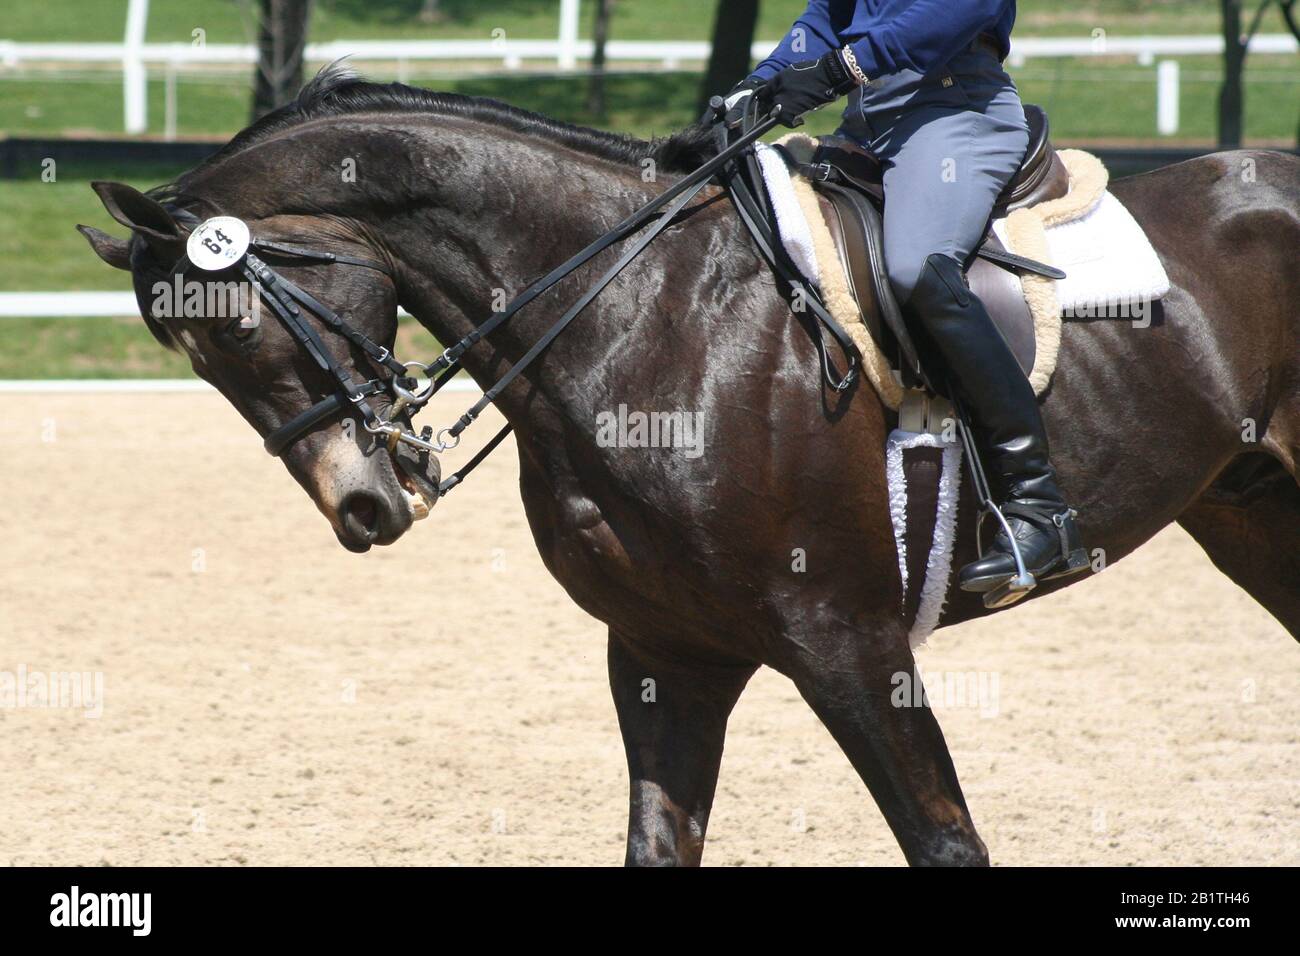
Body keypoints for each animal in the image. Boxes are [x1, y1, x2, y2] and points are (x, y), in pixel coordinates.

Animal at [78, 69, 1300, 868]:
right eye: (191, 361)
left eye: (236, 332)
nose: (364, 505)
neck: (637, 315)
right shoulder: (666, 654)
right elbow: (660, 843)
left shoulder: (851, 644)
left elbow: (947, 842)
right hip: (1251, 515)